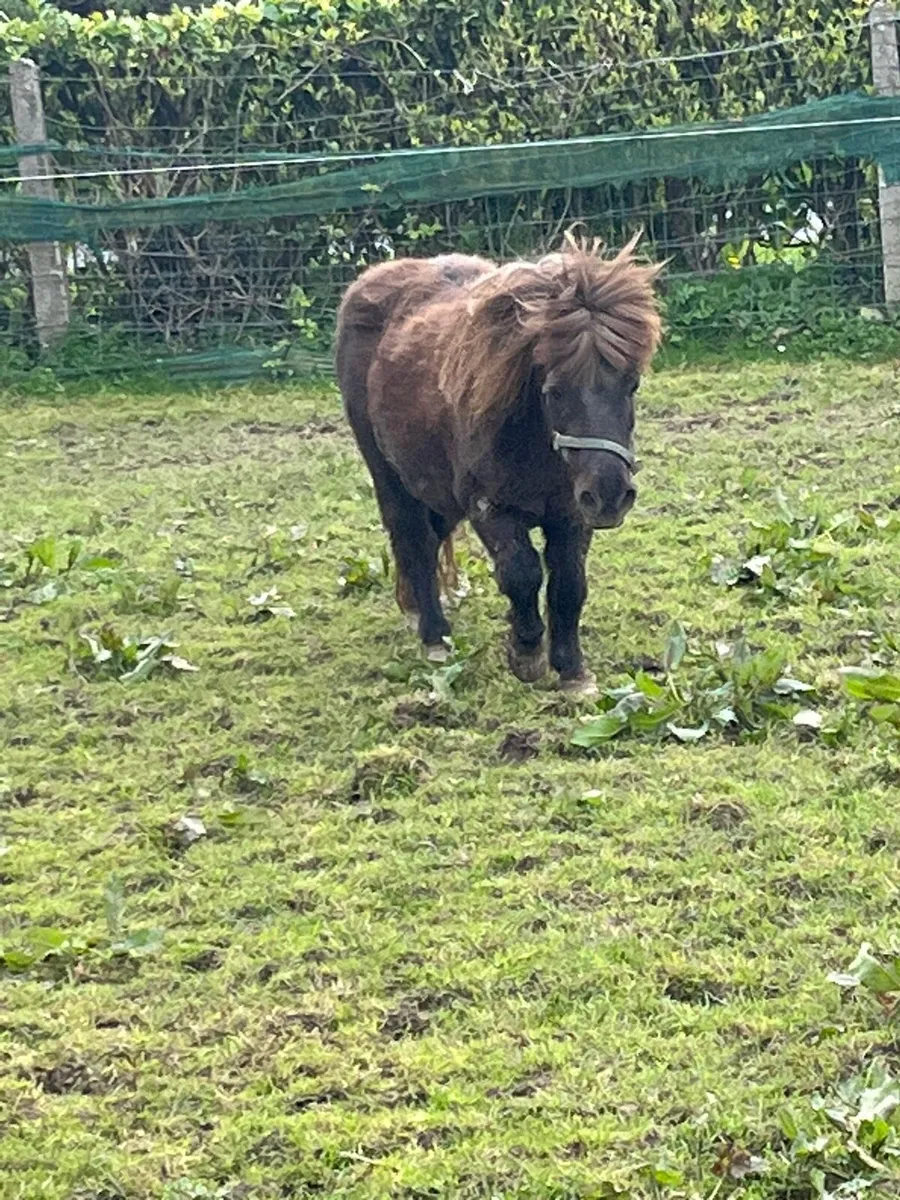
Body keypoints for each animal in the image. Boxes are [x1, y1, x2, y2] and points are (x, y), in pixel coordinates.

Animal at [335, 232, 662, 695]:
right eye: (554, 391)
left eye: (631, 384)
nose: (611, 495)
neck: (535, 445)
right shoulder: (489, 508)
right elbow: (522, 573)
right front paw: (526, 654)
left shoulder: (572, 513)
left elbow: (569, 584)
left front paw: (573, 671)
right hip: (388, 474)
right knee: (413, 539)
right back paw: (435, 636)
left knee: (429, 539)